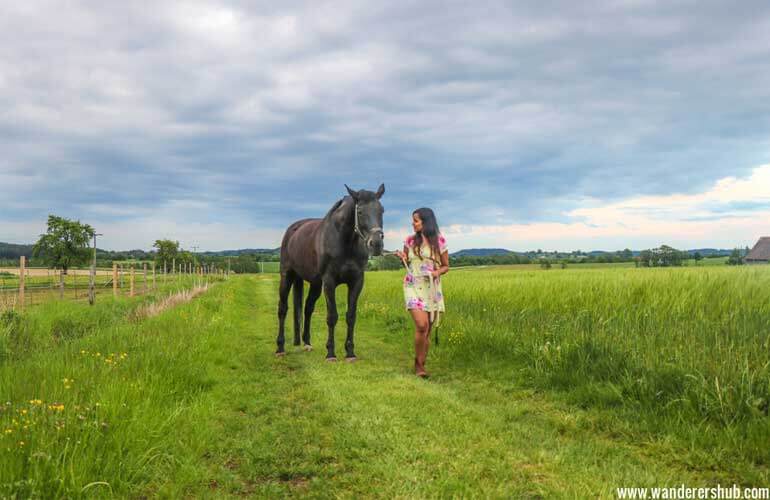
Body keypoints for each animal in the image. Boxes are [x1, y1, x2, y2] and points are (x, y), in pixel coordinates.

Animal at [276, 184, 384, 360]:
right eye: (360, 211)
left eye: (382, 210)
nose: (376, 244)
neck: (345, 242)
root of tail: (292, 231)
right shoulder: (329, 281)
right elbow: (332, 316)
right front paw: (331, 353)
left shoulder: (357, 281)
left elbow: (351, 316)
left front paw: (350, 352)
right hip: (287, 276)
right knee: (282, 309)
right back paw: (280, 348)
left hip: (315, 284)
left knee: (307, 308)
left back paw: (307, 343)